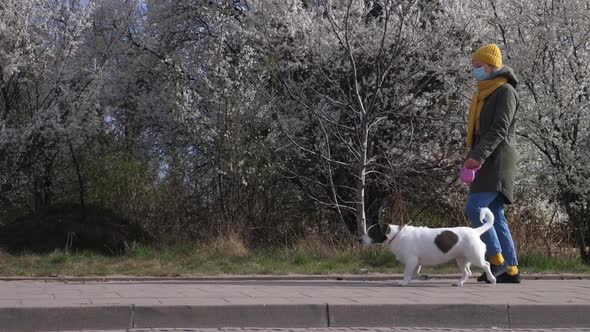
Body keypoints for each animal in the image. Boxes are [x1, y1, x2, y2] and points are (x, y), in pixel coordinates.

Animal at [360, 209, 500, 286]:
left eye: (371, 233)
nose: (359, 240)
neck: (396, 235)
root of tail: (476, 231)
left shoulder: (411, 260)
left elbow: (406, 273)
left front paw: (403, 282)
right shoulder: (416, 263)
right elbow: (414, 273)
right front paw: (418, 278)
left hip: (475, 257)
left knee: (486, 265)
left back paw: (492, 279)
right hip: (461, 259)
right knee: (467, 272)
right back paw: (459, 283)